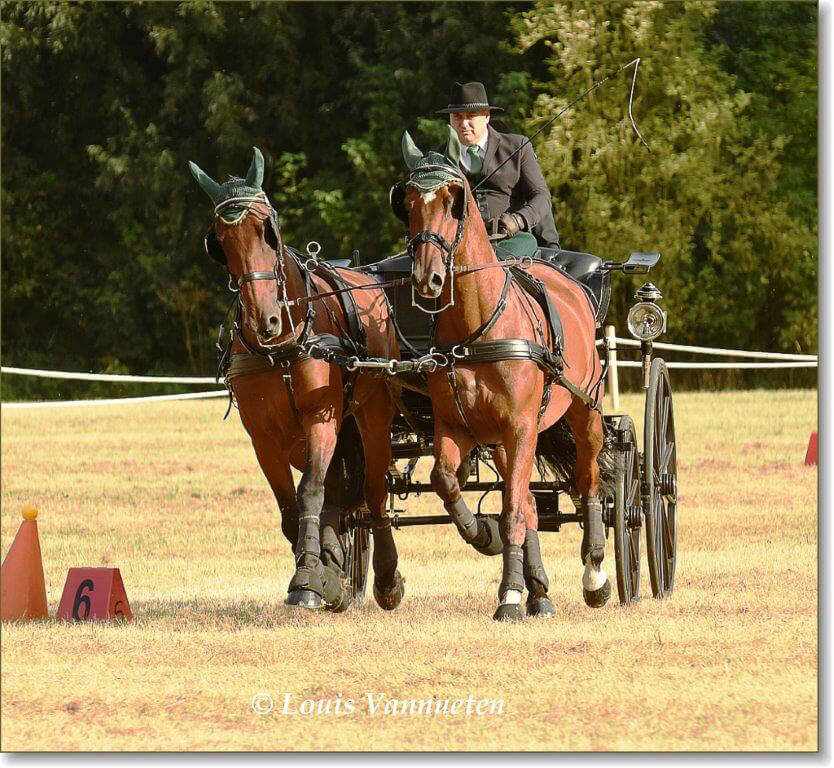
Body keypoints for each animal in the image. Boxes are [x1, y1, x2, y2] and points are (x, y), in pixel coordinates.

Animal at [189, 147, 405, 612]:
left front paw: (308, 577)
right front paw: (319, 570)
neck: (284, 346)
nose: (265, 320)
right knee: (342, 493)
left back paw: (385, 577)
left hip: (372, 416)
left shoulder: (322, 418)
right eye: (219, 242)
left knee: (373, 489)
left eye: (268, 230)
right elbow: (291, 507)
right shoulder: (265, 437)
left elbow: (311, 491)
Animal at [398, 127, 607, 621]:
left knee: (589, 481)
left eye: (454, 201)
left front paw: (509, 595)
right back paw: (540, 593)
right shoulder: (455, 427)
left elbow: (513, 508)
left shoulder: (521, 426)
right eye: (407, 202)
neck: (476, 328)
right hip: (501, 441)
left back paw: (594, 572)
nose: (427, 278)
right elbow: (447, 482)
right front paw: (484, 535)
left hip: (584, 412)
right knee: (530, 500)